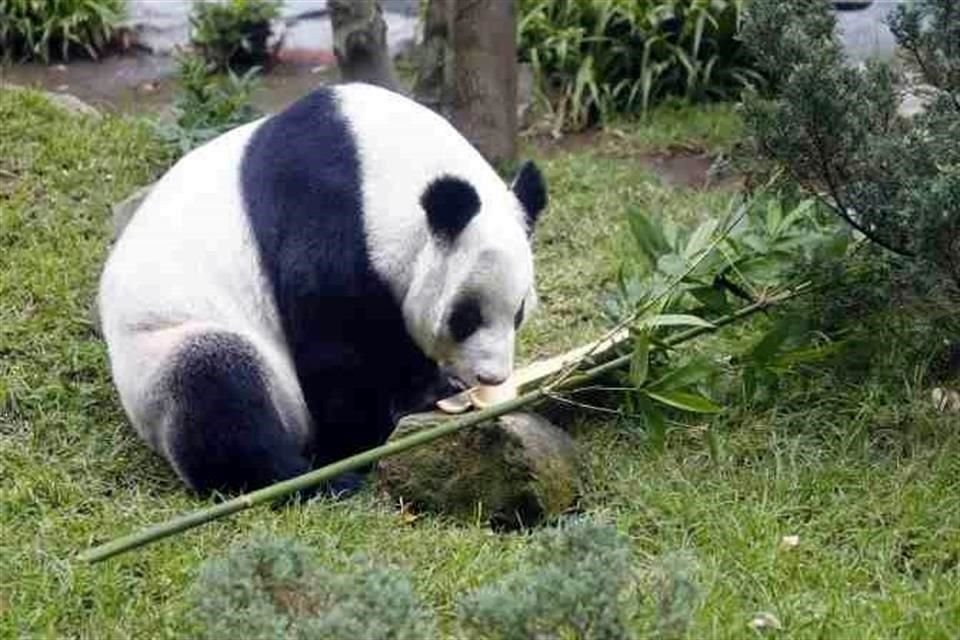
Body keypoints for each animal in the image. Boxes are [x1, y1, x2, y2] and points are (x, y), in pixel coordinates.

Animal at [97, 82, 547, 497]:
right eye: (465, 317)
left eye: (518, 314)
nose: (491, 376)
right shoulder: (323, 207)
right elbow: (335, 344)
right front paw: (363, 441)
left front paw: (429, 391)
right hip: (161, 350)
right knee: (216, 389)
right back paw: (308, 479)